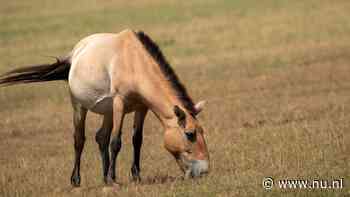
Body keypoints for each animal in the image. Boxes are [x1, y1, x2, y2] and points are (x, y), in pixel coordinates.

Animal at [0, 28, 209, 186]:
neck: (133, 62)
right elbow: (116, 142)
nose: (204, 170)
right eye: (190, 134)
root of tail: (74, 55)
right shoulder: (119, 103)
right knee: (80, 140)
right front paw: (113, 180)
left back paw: (105, 177)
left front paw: (134, 176)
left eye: (202, 131)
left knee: (101, 137)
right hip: (79, 106)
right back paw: (77, 180)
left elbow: (136, 140)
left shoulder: (141, 107)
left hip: (107, 112)